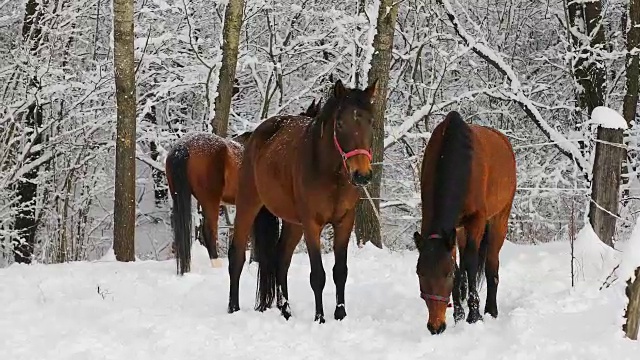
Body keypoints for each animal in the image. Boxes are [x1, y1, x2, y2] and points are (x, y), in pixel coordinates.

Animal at [228, 79, 378, 324]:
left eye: (371, 122)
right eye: (340, 124)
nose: (361, 174)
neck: (331, 173)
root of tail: (254, 136)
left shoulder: (345, 222)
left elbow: (340, 271)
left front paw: (340, 314)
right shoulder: (311, 224)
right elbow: (318, 275)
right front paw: (320, 318)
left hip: (293, 223)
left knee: (281, 260)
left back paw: (286, 310)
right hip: (248, 205)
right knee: (236, 256)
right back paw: (233, 308)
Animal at [412, 110, 516, 334]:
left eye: (446, 274)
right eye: (419, 273)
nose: (435, 326)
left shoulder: (476, 221)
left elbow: (470, 264)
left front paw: (474, 316)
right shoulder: (449, 230)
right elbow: (460, 269)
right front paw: (459, 315)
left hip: (499, 220)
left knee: (491, 265)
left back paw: (491, 310)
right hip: (460, 230)